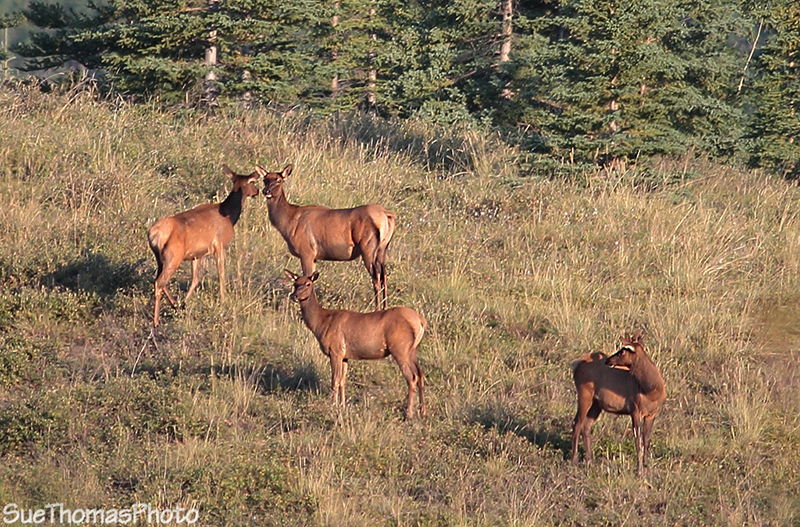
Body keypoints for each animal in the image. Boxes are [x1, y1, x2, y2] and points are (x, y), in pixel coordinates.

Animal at [147, 166, 260, 327]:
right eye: (252, 182)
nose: (257, 191)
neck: (230, 216)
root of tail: (154, 233)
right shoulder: (219, 244)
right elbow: (221, 273)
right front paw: (223, 299)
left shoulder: (197, 254)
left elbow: (195, 279)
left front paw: (185, 303)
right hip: (173, 256)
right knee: (159, 282)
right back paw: (156, 321)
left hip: (160, 258)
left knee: (158, 280)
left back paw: (175, 305)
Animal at [260, 164, 396, 310]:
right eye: (265, 179)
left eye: (279, 180)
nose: (266, 191)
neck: (288, 223)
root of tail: (387, 214)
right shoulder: (314, 256)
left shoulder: (306, 251)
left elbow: (307, 278)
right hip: (383, 248)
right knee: (384, 276)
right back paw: (385, 307)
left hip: (368, 246)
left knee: (376, 276)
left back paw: (377, 308)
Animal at [285, 270, 426, 419]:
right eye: (295, 283)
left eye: (308, 283)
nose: (294, 296)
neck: (321, 323)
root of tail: (420, 321)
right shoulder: (345, 355)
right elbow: (342, 381)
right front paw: (342, 405)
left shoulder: (335, 350)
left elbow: (335, 380)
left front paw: (333, 406)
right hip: (412, 350)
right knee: (421, 374)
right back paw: (422, 412)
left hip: (400, 348)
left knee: (412, 377)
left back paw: (408, 414)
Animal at [570, 329, 666, 476]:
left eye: (622, 351)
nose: (607, 360)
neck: (651, 390)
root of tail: (576, 364)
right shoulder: (635, 409)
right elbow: (638, 441)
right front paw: (639, 470)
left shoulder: (652, 413)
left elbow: (646, 440)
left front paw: (645, 467)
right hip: (584, 395)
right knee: (577, 423)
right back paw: (574, 460)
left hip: (596, 404)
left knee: (586, 426)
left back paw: (590, 460)